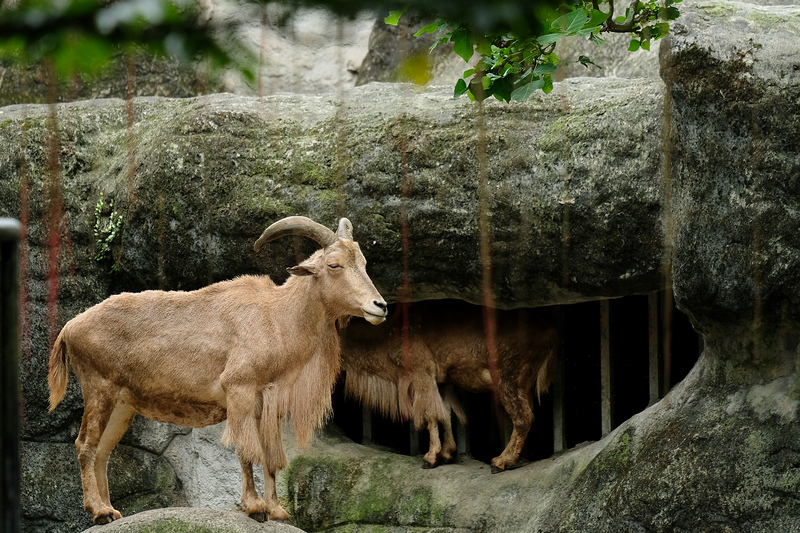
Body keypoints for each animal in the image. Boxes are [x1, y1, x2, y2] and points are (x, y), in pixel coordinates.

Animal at [47, 215, 388, 524]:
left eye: (363, 263)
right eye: (334, 265)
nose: (380, 306)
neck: (277, 316)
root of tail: (70, 327)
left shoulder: (268, 403)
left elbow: (271, 456)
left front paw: (278, 511)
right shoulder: (240, 389)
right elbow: (247, 451)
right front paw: (255, 508)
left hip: (121, 404)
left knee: (103, 450)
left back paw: (111, 511)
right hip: (98, 389)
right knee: (85, 446)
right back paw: (100, 512)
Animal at [342, 300, 556, 470]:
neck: (387, 335)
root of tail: (551, 334)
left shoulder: (422, 372)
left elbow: (431, 415)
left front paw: (430, 458)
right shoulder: (443, 383)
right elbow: (445, 414)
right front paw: (446, 454)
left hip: (508, 378)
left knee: (524, 418)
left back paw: (501, 462)